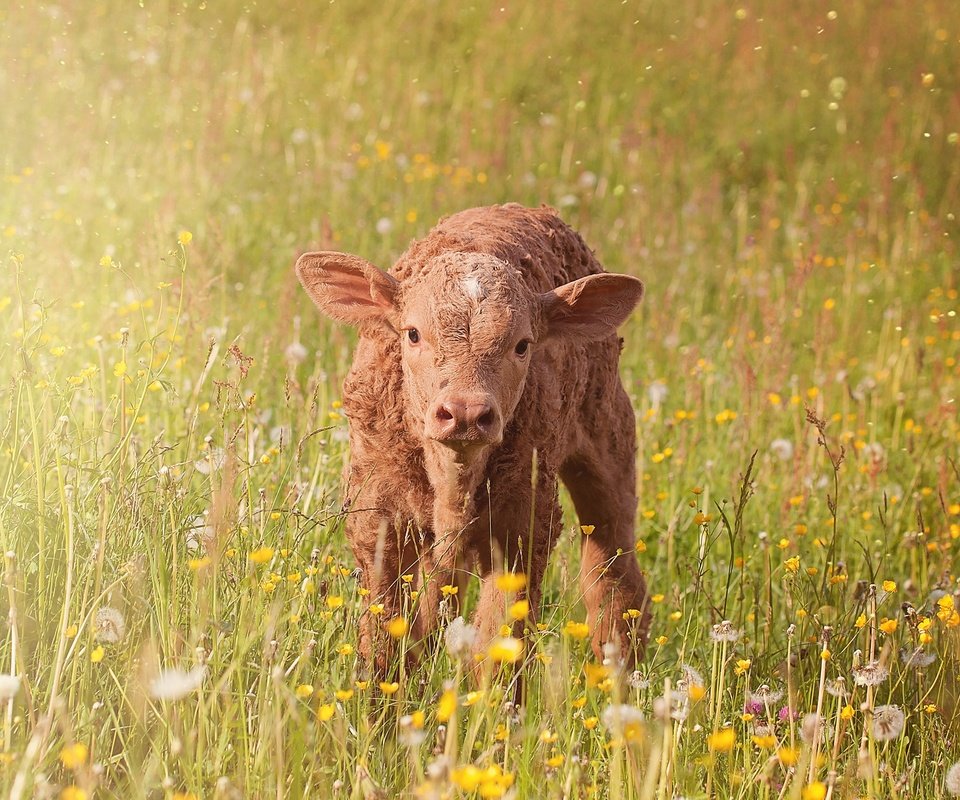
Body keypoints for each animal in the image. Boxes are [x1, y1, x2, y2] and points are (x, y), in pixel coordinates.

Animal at [296, 205, 648, 668]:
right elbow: (386, 636)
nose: (465, 413)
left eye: (522, 345)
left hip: (610, 441)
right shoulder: (378, 519)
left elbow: (498, 644)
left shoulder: (523, 528)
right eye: (413, 333)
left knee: (613, 575)